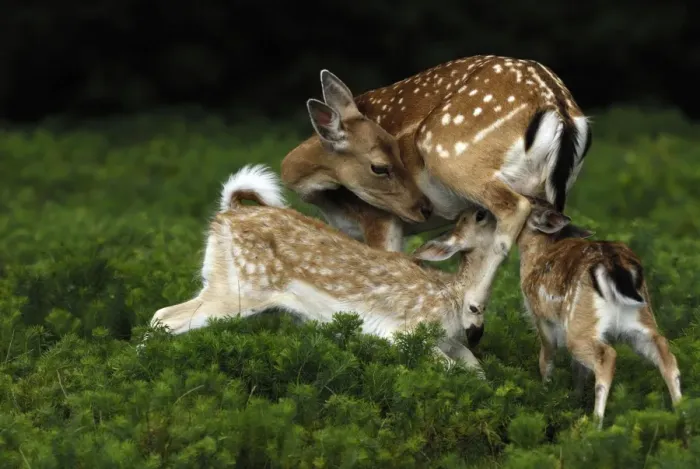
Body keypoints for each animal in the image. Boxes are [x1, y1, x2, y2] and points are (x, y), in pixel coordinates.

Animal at [147, 164, 498, 377]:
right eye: (476, 216)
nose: (489, 208)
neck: (454, 297)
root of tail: (226, 216)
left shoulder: (448, 340)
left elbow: (474, 366)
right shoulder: (402, 332)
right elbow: (448, 366)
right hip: (234, 291)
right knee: (164, 315)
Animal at [281, 55, 592, 321]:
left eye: (386, 162)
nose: (423, 208)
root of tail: (559, 108)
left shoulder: (380, 218)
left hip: (451, 157)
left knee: (512, 207)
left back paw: (473, 306)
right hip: (548, 194)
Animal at [424, 197, 683, 428]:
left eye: (530, 201)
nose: (488, 210)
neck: (537, 255)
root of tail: (614, 266)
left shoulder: (540, 315)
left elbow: (547, 356)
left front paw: (547, 392)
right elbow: (578, 369)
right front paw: (574, 398)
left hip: (580, 324)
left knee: (606, 356)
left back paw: (595, 424)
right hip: (638, 318)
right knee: (664, 350)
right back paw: (682, 415)